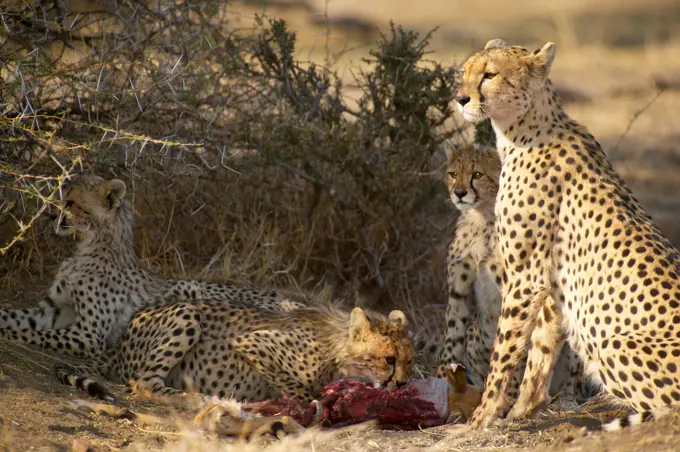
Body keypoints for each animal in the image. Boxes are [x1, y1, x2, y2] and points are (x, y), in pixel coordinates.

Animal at [0, 176, 302, 360]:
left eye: (71, 202)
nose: (51, 215)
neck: (90, 245)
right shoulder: (48, 310)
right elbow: (12, 317)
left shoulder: (89, 335)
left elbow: (29, 333)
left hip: (190, 289)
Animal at [55, 302, 412, 404]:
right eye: (389, 360)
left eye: (410, 362)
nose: (403, 384)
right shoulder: (253, 344)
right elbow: (296, 386)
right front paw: (311, 401)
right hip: (187, 313)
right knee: (143, 384)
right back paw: (199, 398)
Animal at [438, 142, 588, 402]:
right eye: (453, 174)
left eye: (477, 174)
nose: (459, 193)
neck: (481, 219)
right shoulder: (458, 291)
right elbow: (452, 335)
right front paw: (441, 378)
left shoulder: (520, 290)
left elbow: (516, 351)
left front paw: (507, 394)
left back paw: (566, 399)